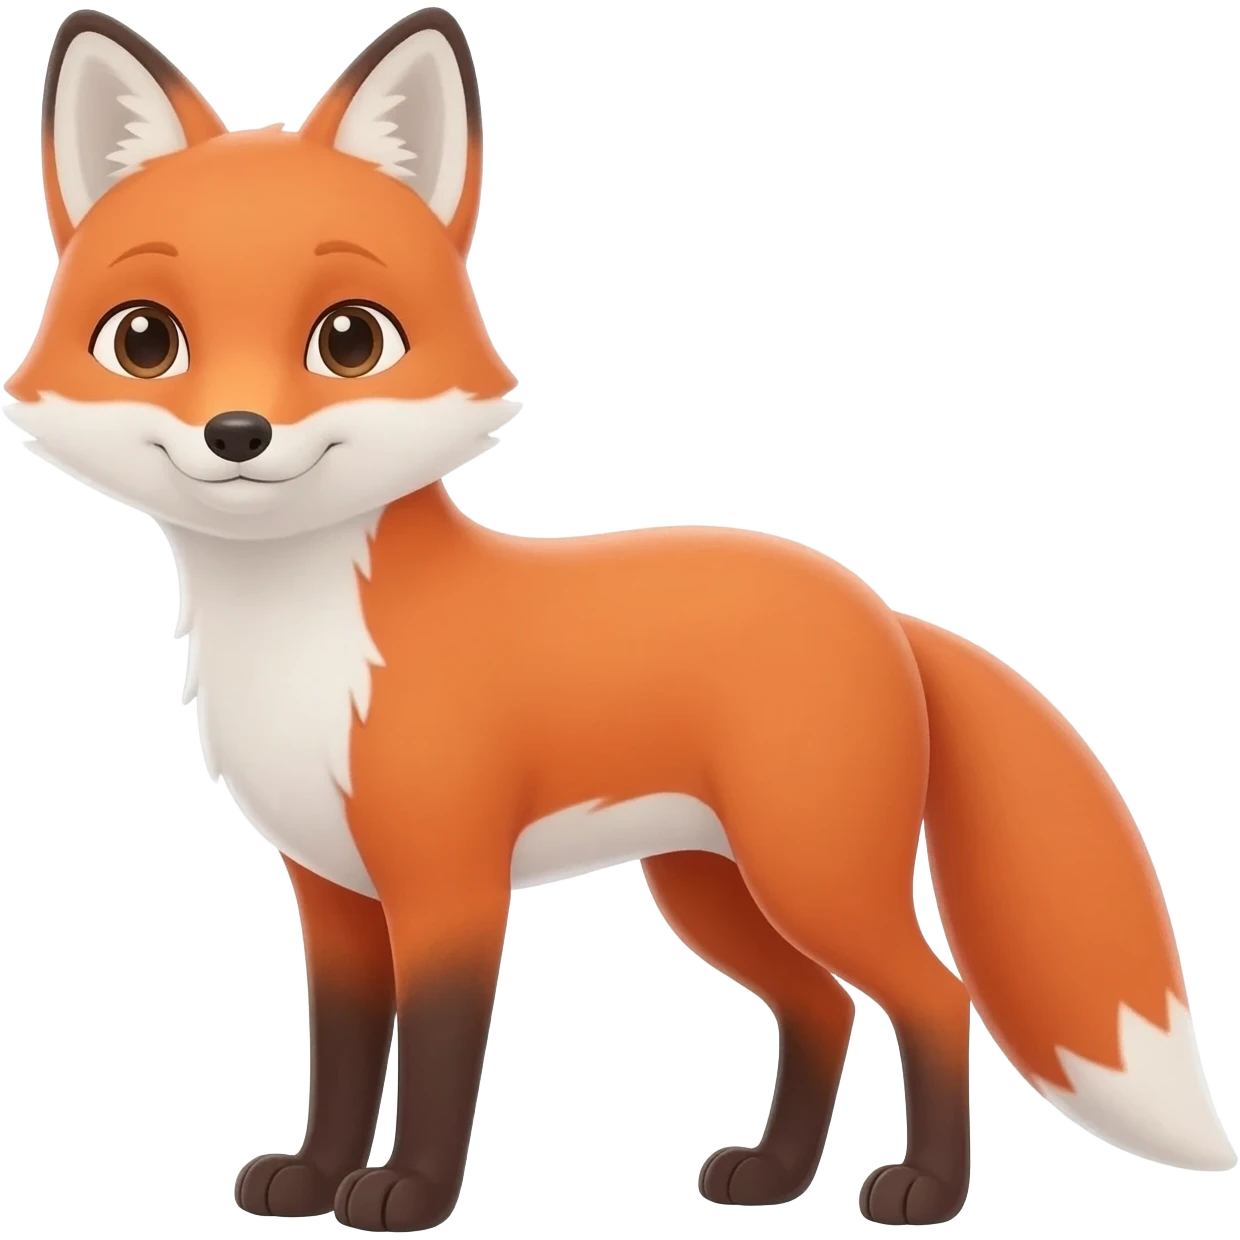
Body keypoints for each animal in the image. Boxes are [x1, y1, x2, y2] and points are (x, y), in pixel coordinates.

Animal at [3, 6, 1234, 1233]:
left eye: (350, 339)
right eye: (145, 340)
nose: (238, 434)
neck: (296, 642)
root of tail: (880, 606)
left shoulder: (449, 883)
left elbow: (438, 1054)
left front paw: (407, 1192)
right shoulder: (333, 893)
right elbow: (342, 1055)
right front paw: (310, 1177)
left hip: (811, 873)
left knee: (935, 994)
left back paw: (924, 1190)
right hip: (711, 889)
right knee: (822, 1007)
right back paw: (771, 1177)